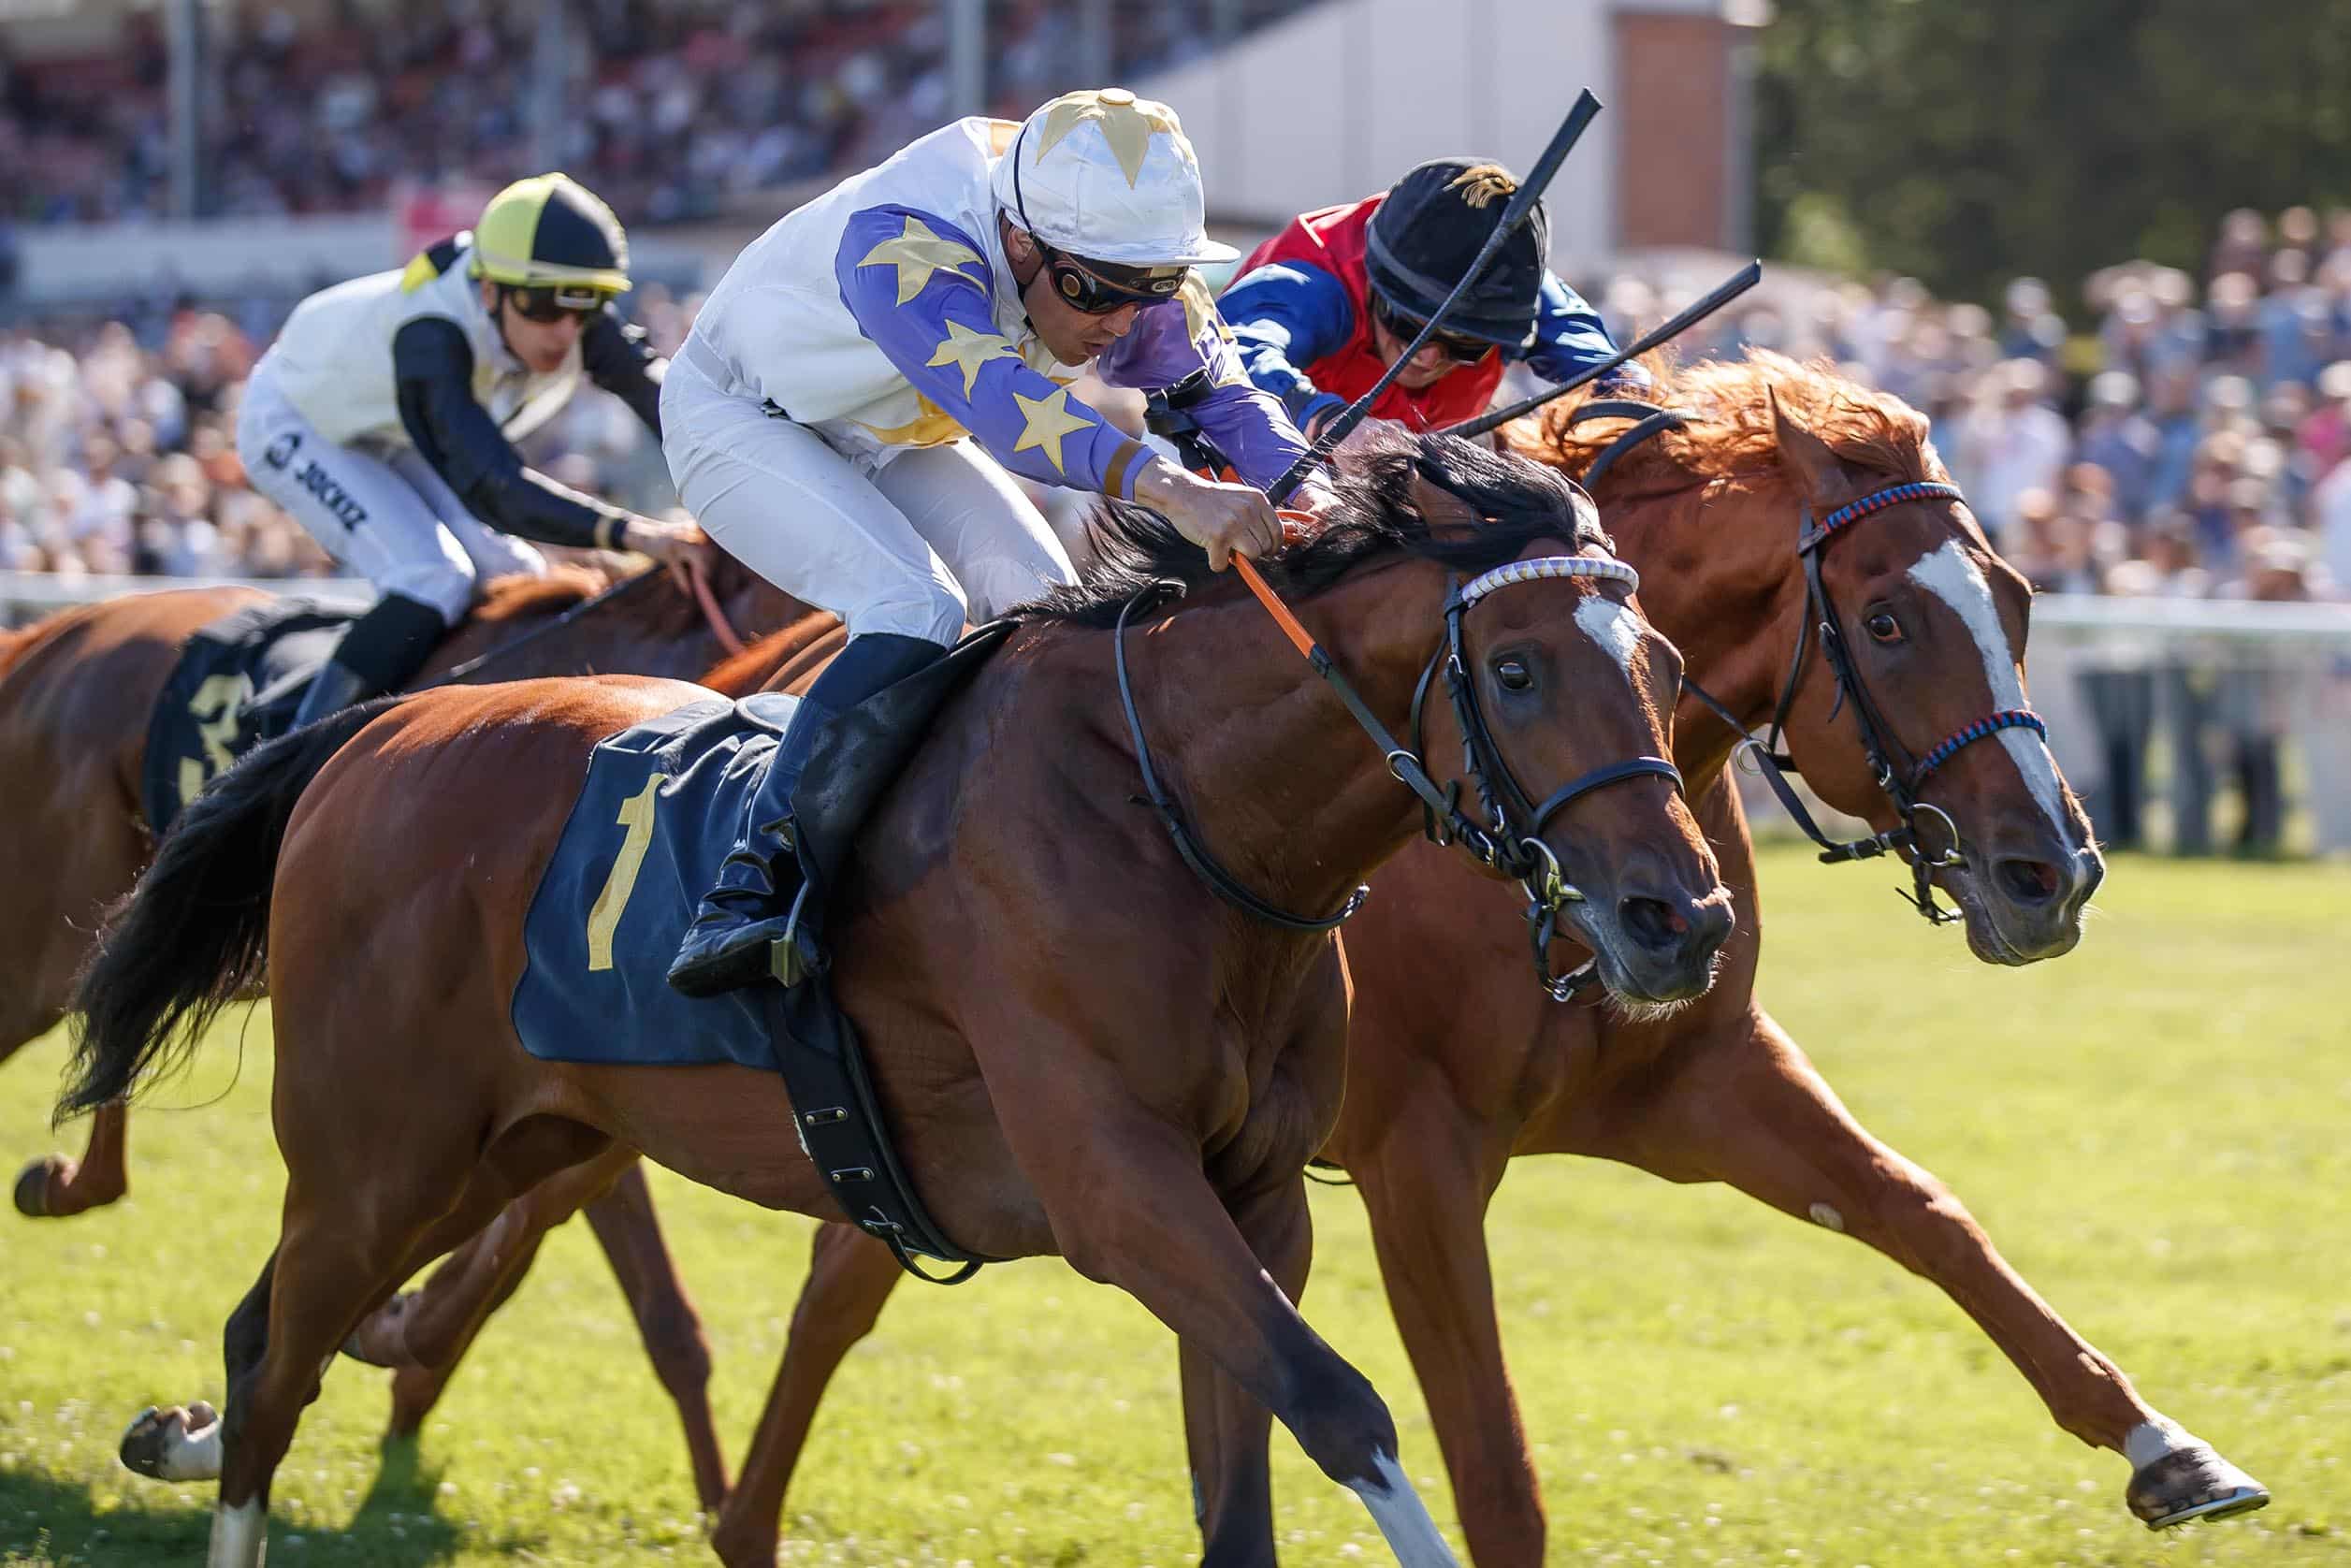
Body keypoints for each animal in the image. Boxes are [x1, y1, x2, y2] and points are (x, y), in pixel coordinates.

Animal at [362, 355, 2257, 1568]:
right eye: (1884, 617)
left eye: (2019, 594)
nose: (2050, 871)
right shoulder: (1416, 1155)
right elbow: (1489, 1468)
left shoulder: (1689, 1078)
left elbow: (1925, 1215)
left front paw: (2164, 1444)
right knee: (568, 1198)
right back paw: (384, 1365)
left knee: (799, 1260)